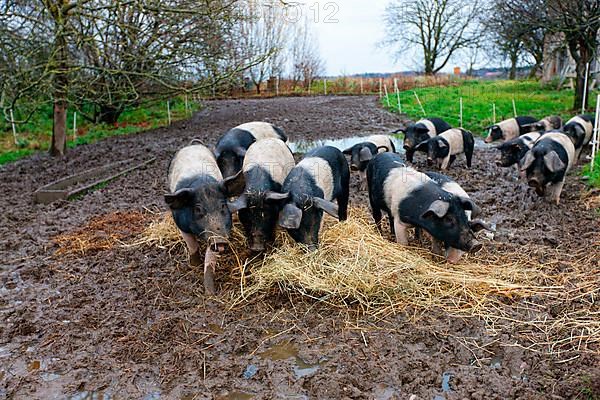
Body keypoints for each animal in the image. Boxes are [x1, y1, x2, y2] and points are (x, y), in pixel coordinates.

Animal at [164, 144, 244, 294]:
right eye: (198, 210)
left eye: (223, 206)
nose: (220, 239)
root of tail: (192, 144)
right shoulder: (181, 225)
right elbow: (192, 245)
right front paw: (194, 265)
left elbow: (210, 258)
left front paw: (210, 293)